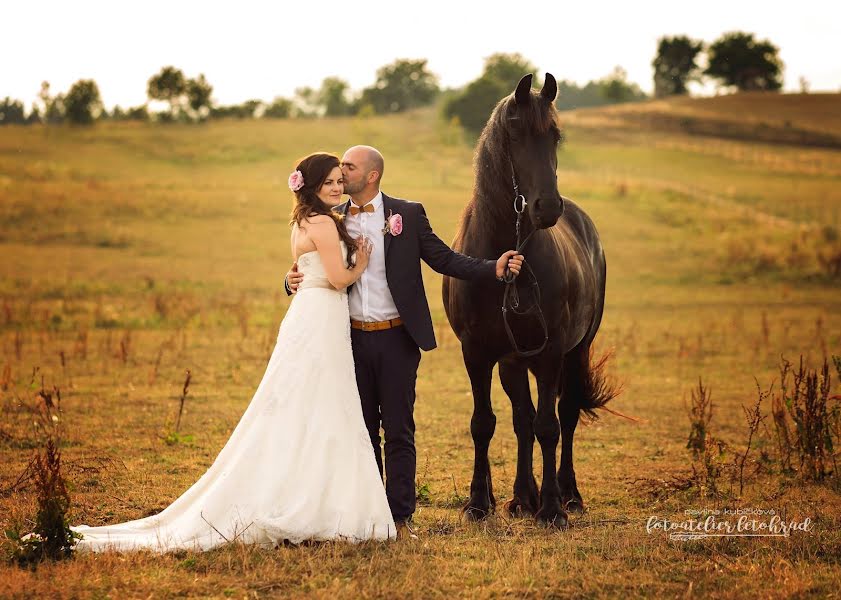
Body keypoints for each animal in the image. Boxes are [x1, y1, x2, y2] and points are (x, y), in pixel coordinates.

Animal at [442, 72, 612, 528]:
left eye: (555, 135)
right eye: (515, 134)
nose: (547, 207)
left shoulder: (551, 353)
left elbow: (548, 427)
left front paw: (552, 509)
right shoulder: (476, 353)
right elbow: (484, 423)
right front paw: (479, 503)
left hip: (573, 352)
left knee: (565, 414)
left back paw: (567, 495)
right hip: (514, 362)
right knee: (522, 419)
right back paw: (522, 497)